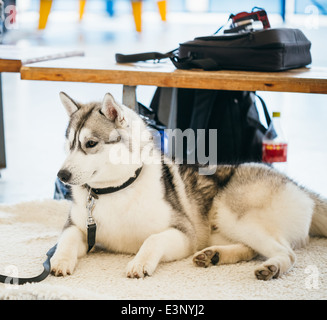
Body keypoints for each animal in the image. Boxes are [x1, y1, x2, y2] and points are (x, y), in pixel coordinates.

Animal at [52, 92, 327, 280]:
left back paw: (272, 267)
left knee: (287, 253)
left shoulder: (184, 234)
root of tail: (300, 187)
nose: (62, 174)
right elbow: (66, 239)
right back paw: (215, 255)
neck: (116, 190)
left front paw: (140, 262)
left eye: (90, 143)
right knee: (251, 248)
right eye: (69, 144)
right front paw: (60, 260)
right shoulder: (78, 227)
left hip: (232, 215)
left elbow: (152, 239)